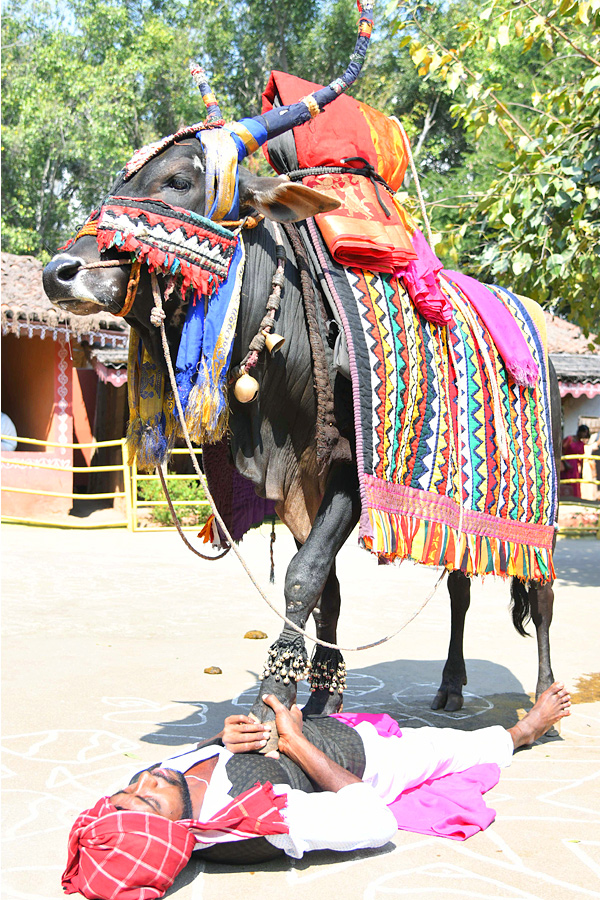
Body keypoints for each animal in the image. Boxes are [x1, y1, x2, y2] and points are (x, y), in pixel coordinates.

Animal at [43, 1, 564, 724]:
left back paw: (544, 697)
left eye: (179, 180)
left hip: (540, 499)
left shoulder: (348, 474)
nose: (59, 272)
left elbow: (304, 576)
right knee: (459, 583)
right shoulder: (294, 484)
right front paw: (319, 694)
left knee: (539, 590)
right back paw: (452, 684)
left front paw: (275, 701)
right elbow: (329, 589)